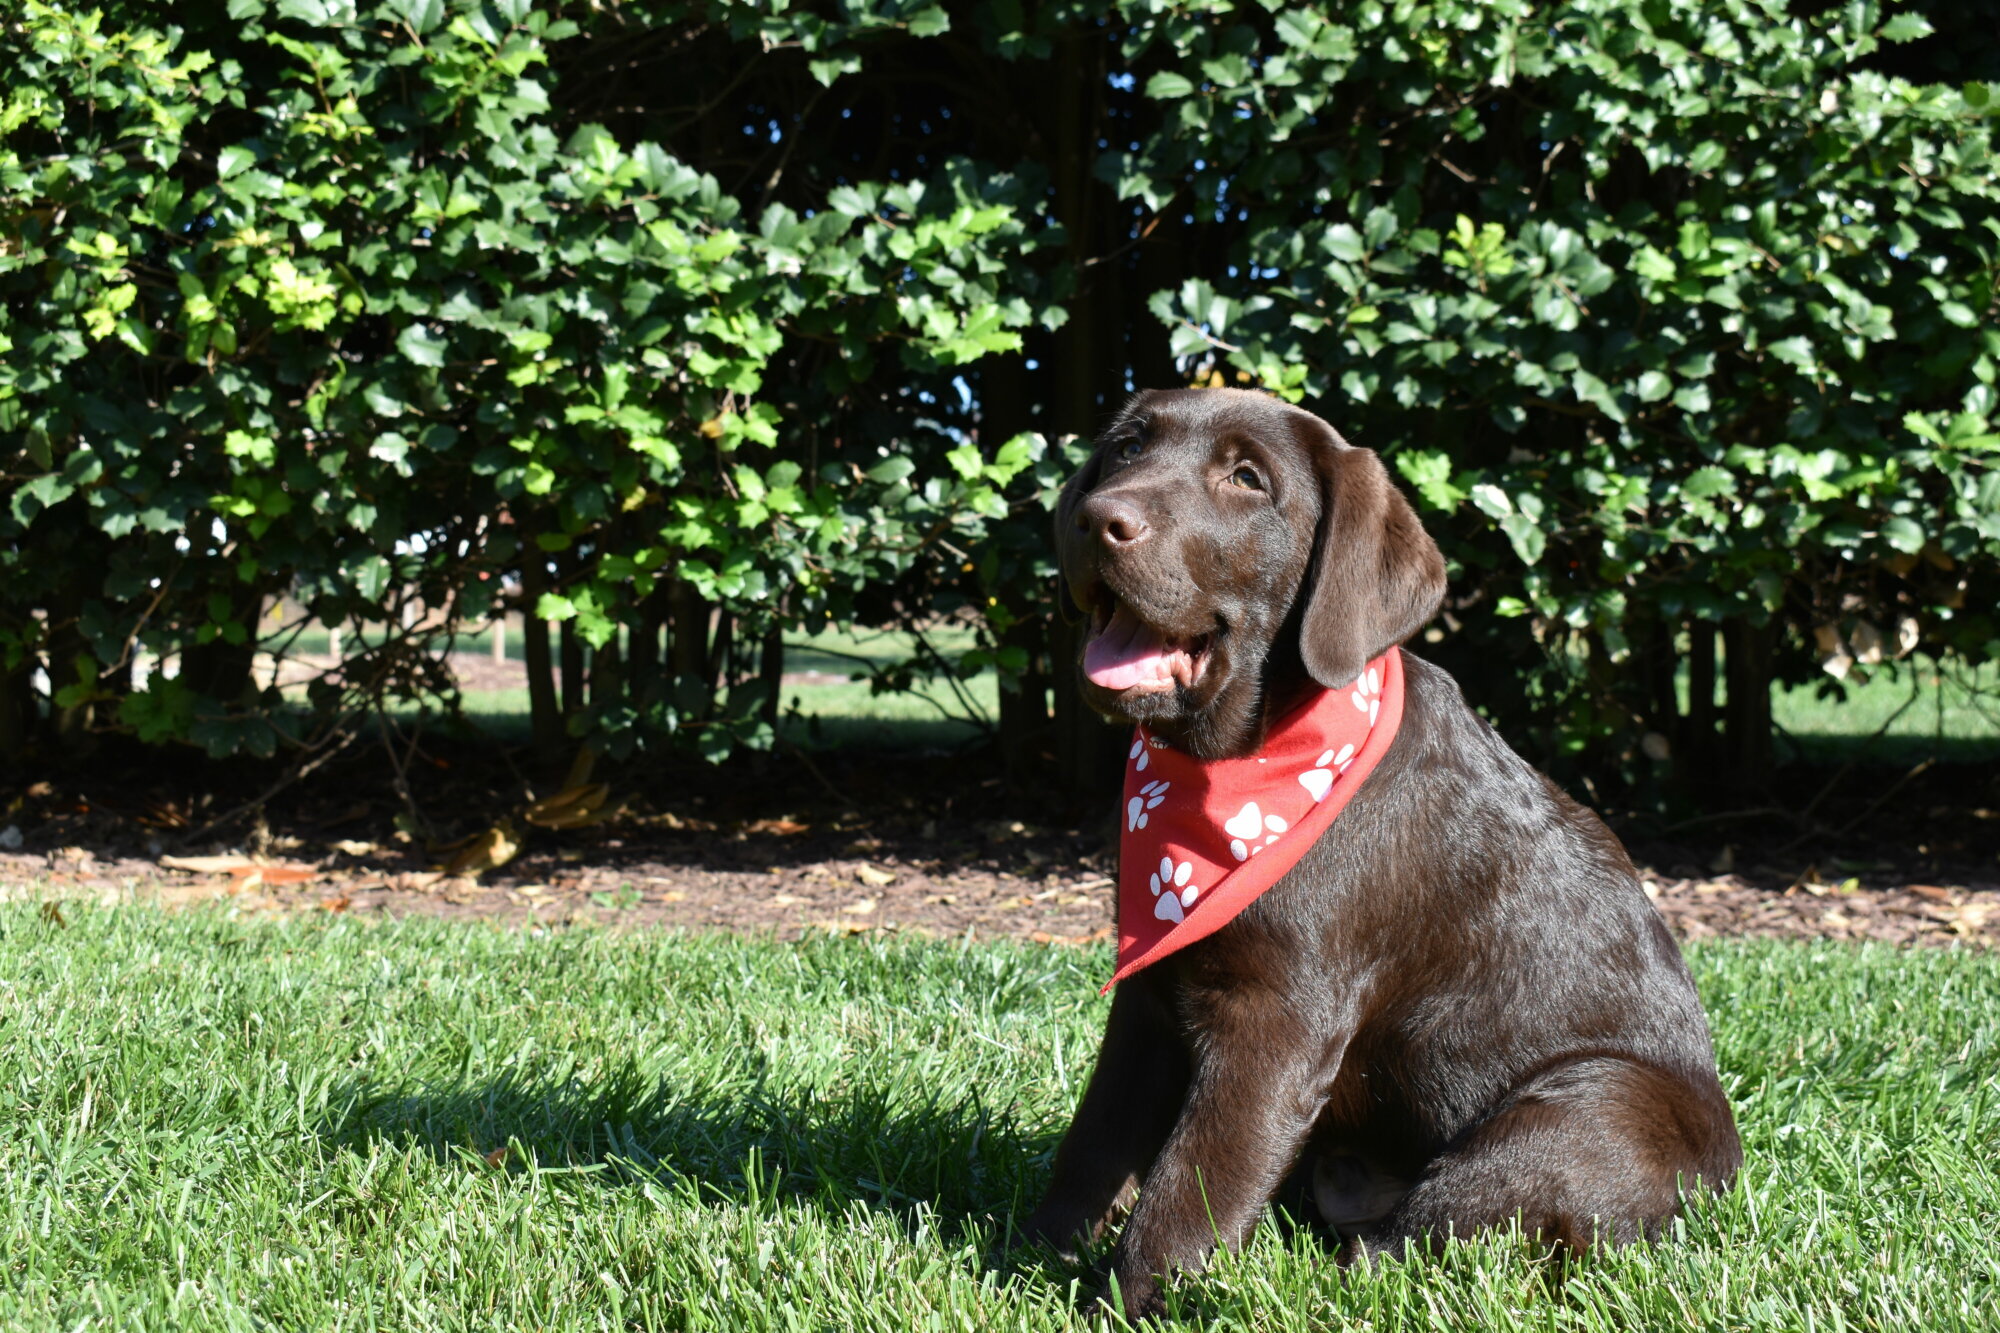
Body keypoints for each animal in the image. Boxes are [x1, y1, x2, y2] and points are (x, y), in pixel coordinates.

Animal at [1023, 388, 1741, 1317]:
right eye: (1126, 449)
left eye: (1247, 478)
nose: (1096, 519)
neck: (1237, 770)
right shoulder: (1149, 995)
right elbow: (1096, 1141)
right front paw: (1027, 1257)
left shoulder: (1277, 1017)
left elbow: (1196, 1176)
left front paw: (1134, 1303)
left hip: (1583, 1110)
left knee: (1411, 1246)